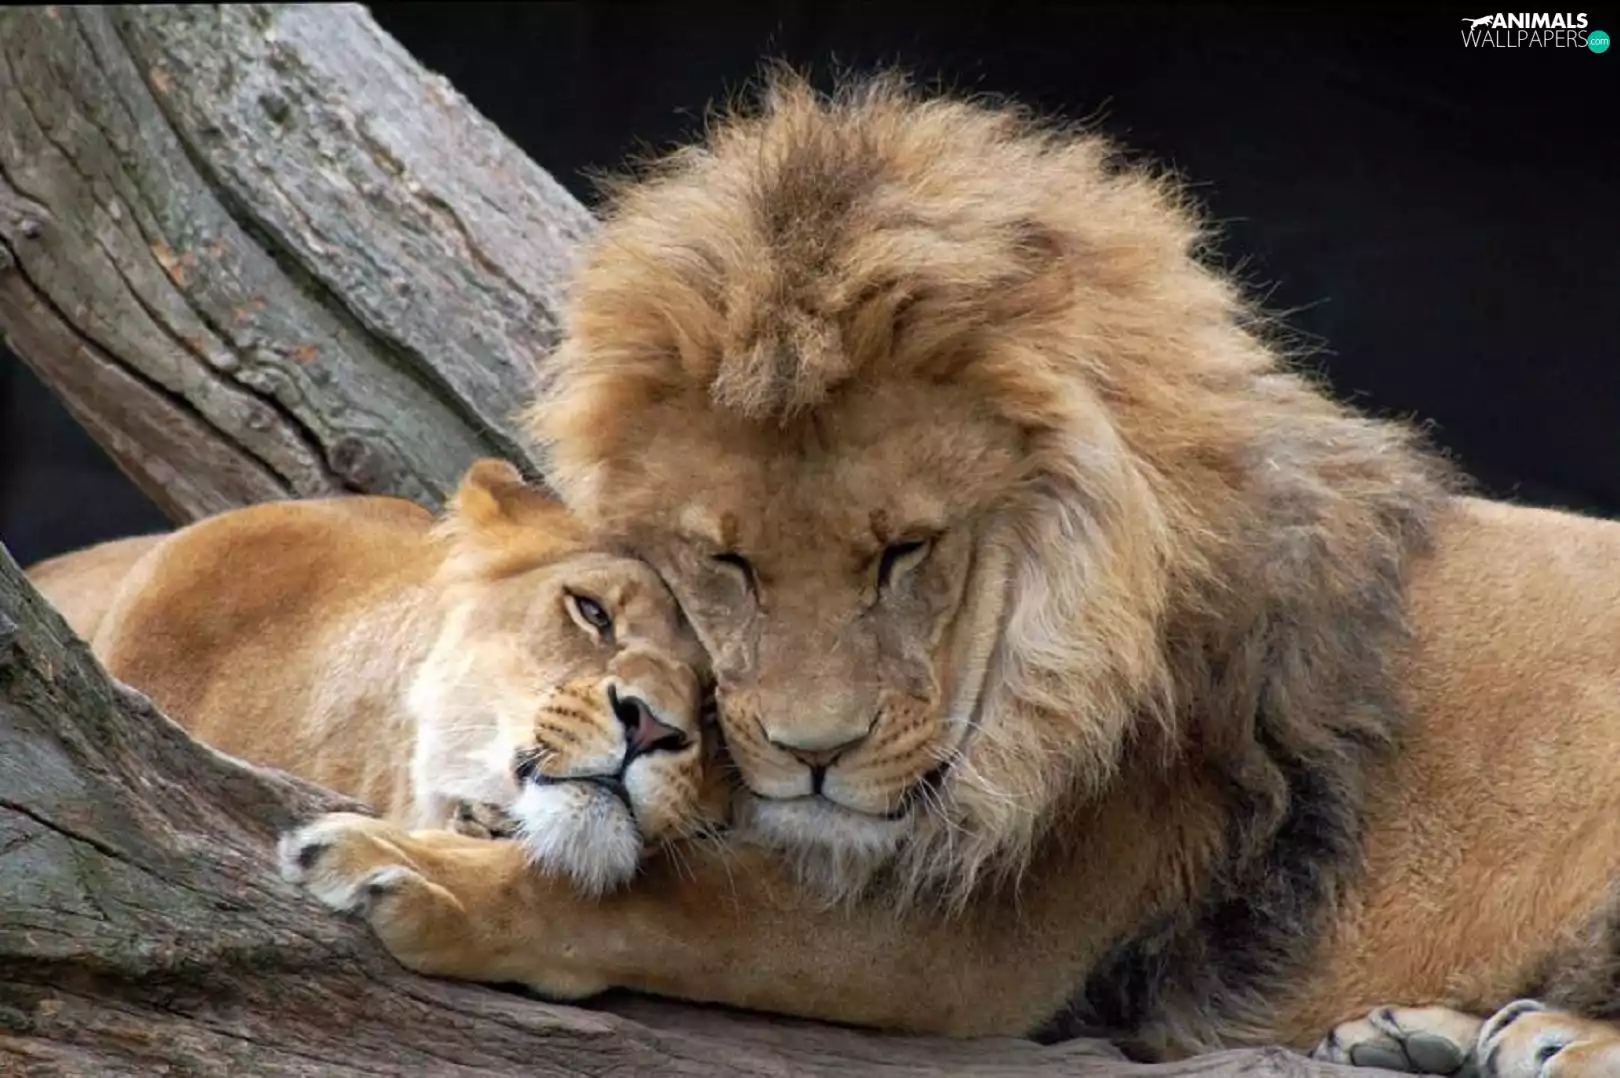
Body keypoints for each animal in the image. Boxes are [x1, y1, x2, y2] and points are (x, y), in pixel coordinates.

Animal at [280, 71, 1620, 1075]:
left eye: (905, 551)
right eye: (728, 560)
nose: (812, 757)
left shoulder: (982, 933)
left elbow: (659, 901)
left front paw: (402, 868)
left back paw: (1549, 1035)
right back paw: (1424, 1034)